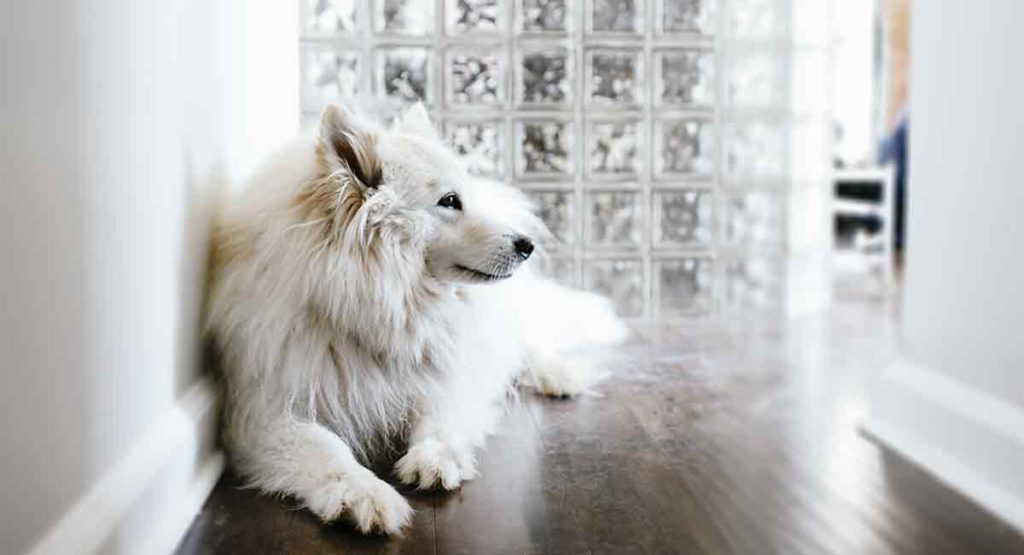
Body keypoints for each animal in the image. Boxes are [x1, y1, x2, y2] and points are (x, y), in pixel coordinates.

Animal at [205, 103, 622, 536]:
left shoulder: (445, 380)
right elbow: (326, 451)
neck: (380, 311)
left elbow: (441, 421)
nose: (528, 245)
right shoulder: (269, 415)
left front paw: (435, 460)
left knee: (527, 343)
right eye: (450, 200)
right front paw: (364, 495)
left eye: (464, 195)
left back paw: (558, 375)